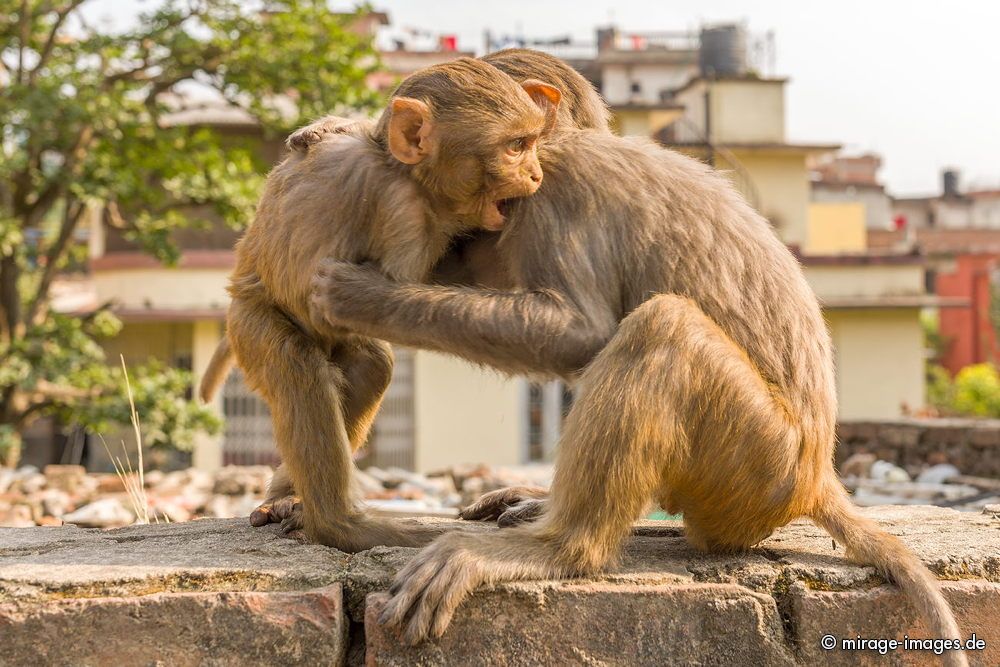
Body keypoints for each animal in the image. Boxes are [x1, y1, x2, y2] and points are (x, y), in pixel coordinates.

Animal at [308, 121, 964, 664]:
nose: (461, 257)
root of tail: (817, 475)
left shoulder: (556, 199)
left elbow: (579, 330)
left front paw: (361, 297)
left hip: (759, 462)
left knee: (662, 329)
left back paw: (559, 549)